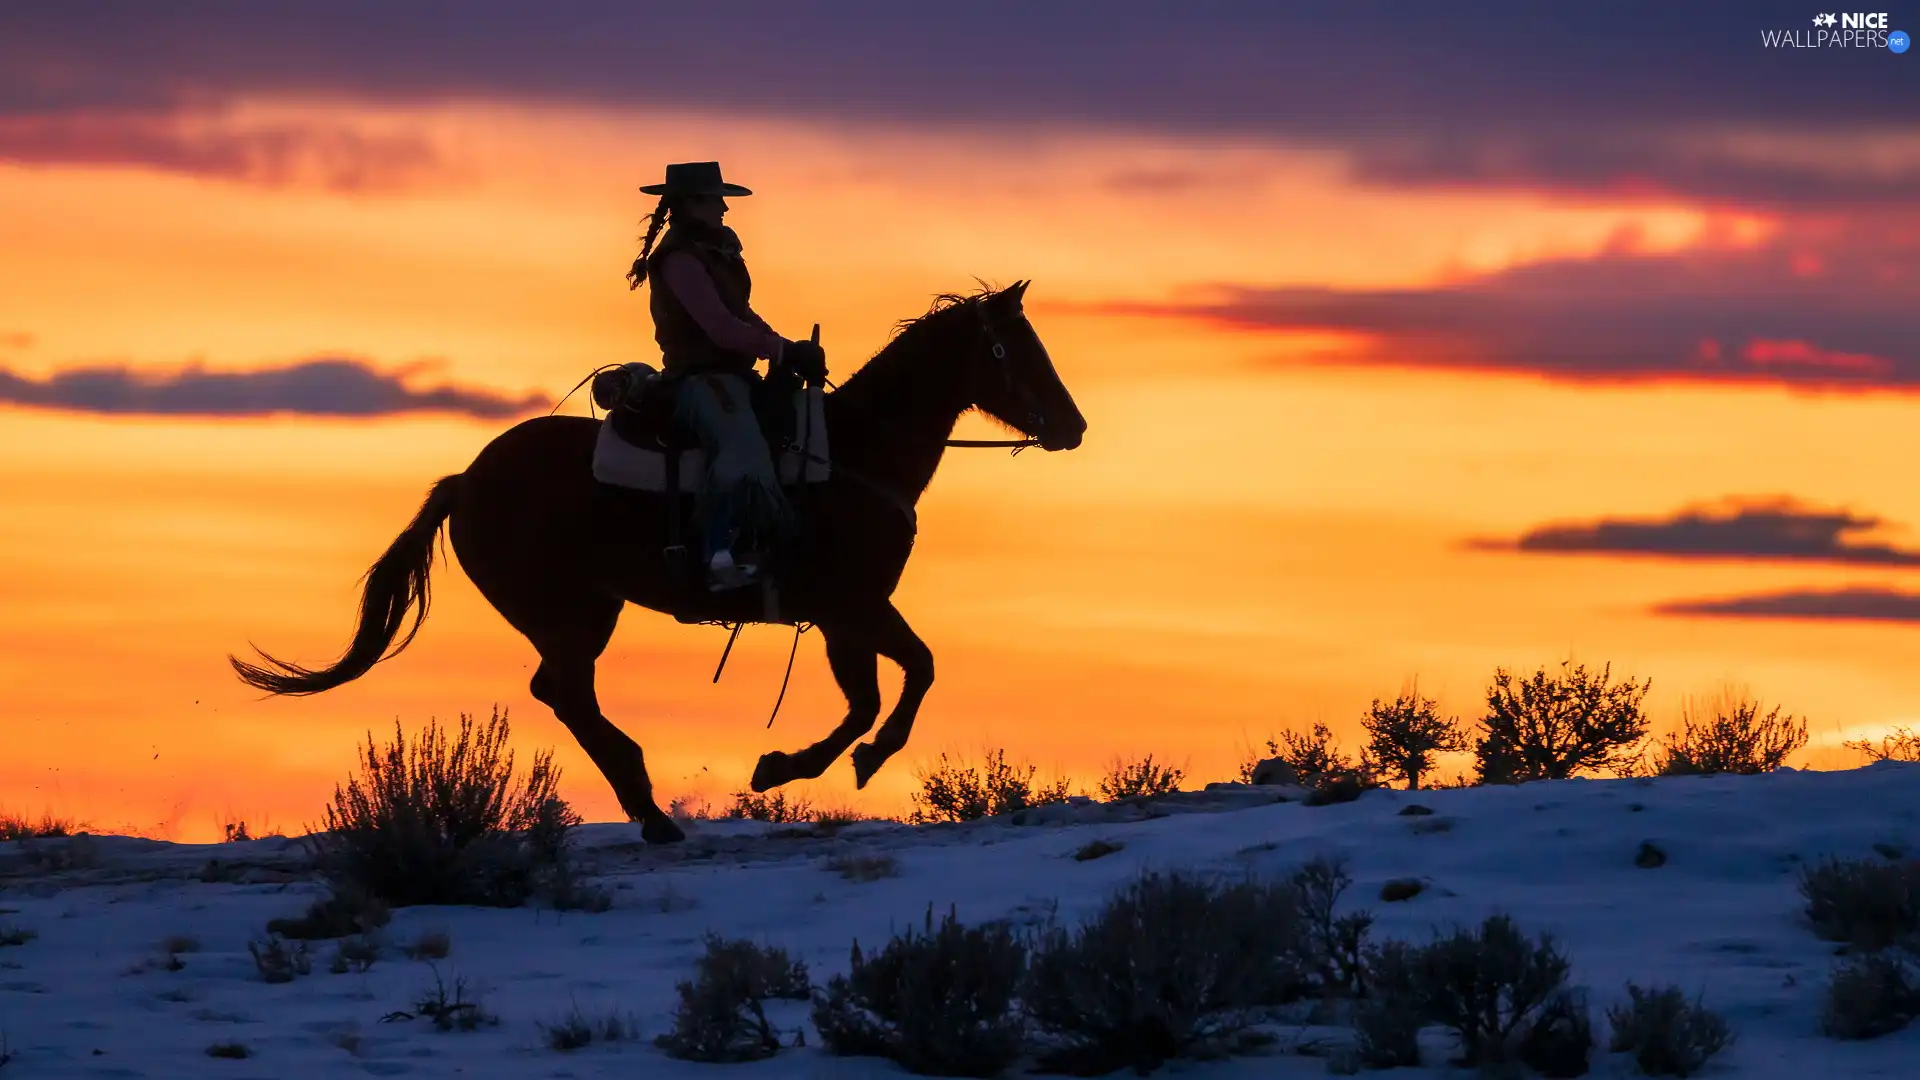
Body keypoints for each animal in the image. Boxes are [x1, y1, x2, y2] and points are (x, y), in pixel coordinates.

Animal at [228, 282, 1082, 837]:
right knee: (565, 691)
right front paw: (819, 765)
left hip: (587, 608)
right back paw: (649, 808)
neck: (855, 453)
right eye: (1008, 348)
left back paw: (648, 805)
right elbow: (910, 678)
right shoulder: (854, 605)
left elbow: (873, 697)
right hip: (567, 611)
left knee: (564, 692)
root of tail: (467, 480)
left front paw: (803, 765)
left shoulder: (847, 616)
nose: (1070, 426)